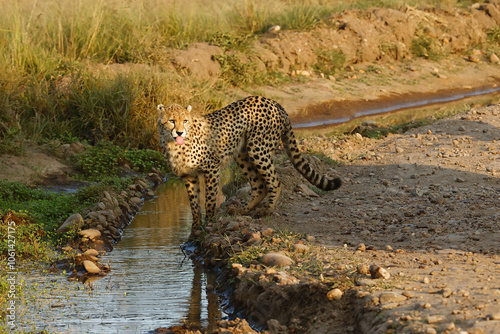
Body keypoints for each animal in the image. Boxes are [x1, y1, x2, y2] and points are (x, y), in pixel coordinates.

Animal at [158, 95, 342, 234]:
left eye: (185, 121)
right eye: (172, 121)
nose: (180, 132)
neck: (174, 144)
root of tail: (274, 102)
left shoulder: (212, 168)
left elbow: (209, 200)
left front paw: (209, 224)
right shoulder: (189, 176)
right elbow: (194, 205)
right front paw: (195, 230)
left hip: (258, 149)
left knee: (275, 182)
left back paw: (266, 210)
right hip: (243, 155)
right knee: (259, 185)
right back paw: (242, 210)